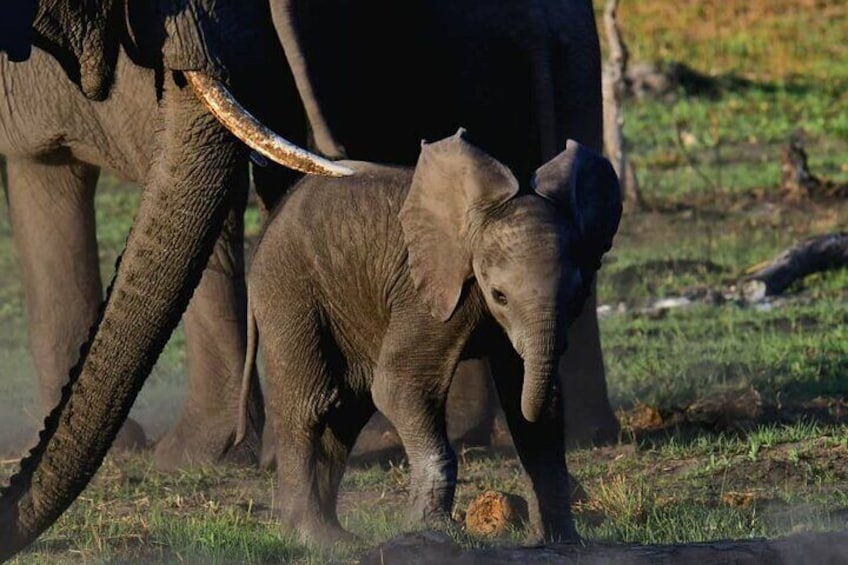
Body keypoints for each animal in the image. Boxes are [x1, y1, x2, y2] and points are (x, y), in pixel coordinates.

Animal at [238, 128, 624, 540]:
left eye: (577, 294)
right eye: (499, 295)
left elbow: (536, 399)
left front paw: (560, 540)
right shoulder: (427, 293)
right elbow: (399, 386)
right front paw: (431, 530)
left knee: (348, 408)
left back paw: (336, 535)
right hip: (289, 290)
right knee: (311, 403)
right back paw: (317, 538)